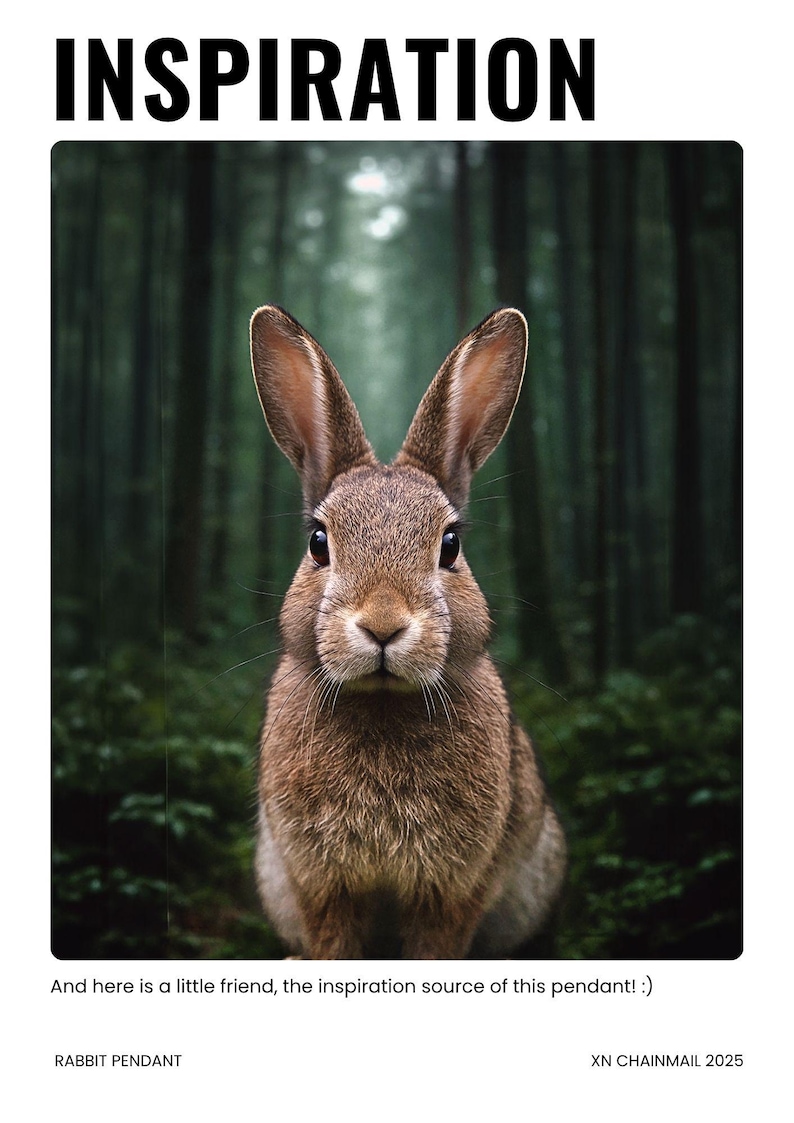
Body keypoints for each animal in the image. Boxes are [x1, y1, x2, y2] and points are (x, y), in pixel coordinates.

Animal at [249, 304, 566, 960]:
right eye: (318, 543)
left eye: (450, 546)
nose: (383, 625)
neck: (382, 701)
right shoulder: (321, 885)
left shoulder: (453, 888)